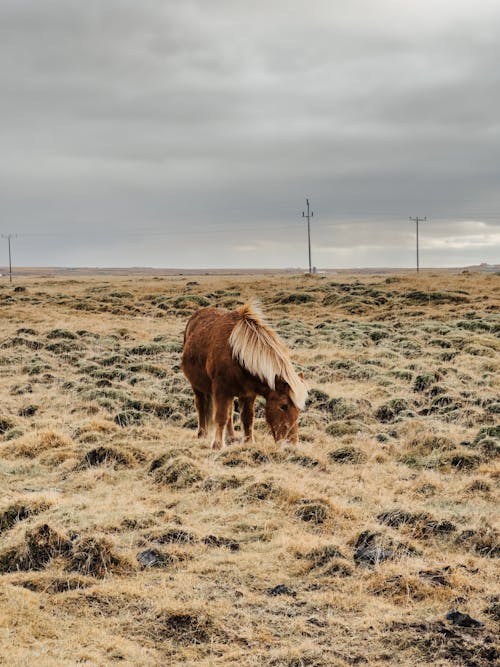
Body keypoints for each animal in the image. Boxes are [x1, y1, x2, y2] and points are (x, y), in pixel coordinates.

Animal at [182, 306, 306, 452]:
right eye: (283, 406)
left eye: (299, 409)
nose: (291, 445)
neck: (237, 355)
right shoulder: (221, 390)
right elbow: (221, 417)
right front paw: (217, 445)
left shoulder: (248, 394)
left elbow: (247, 418)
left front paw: (248, 442)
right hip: (198, 387)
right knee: (201, 406)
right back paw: (202, 434)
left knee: (229, 412)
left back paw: (231, 437)